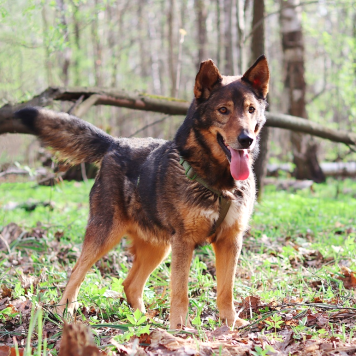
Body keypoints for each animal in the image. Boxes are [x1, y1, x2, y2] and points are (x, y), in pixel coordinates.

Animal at [14, 55, 270, 328]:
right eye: (223, 110)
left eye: (251, 109)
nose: (246, 140)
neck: (221, 182)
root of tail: (115, 143)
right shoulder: (184, 242)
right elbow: (180, 291)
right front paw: (180, 328)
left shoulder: (230, 240)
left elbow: (226, 290)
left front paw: (230, 323)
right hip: (105, 234)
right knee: (76, 273)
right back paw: (65, 314)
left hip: (158, 247)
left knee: (130, 285)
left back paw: (143, 321)